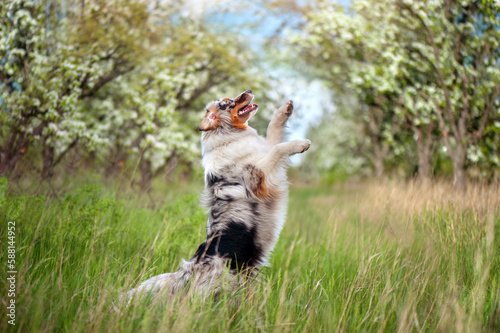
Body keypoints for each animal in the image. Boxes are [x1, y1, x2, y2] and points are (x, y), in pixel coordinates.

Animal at [124, 89, 308, 302]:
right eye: (228, 102)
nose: (248, 91)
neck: (228, 136)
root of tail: (189, 272)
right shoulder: (258, 175)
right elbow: (278, 149)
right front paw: (301, 144)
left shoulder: (264, 156)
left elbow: (273, 132)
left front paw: (284, 110)